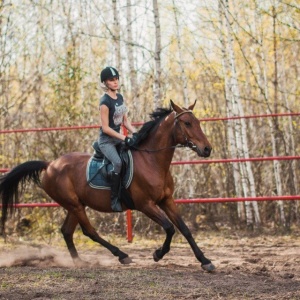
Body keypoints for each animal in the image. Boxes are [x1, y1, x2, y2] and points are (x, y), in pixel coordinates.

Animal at [0, 100, 216, 272]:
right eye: (187, 123)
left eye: (198, 122)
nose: (207, 149)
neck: (152, 161)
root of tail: (50, 164)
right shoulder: (145, 205)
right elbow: (170, 228)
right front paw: (158, 254)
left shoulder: (166, 200)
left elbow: (184, 229)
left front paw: (205, 261)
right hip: (75, 205)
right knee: (89, 231)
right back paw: (121, 255)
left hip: (76, 205)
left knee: (67, 231)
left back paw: (79, 262)